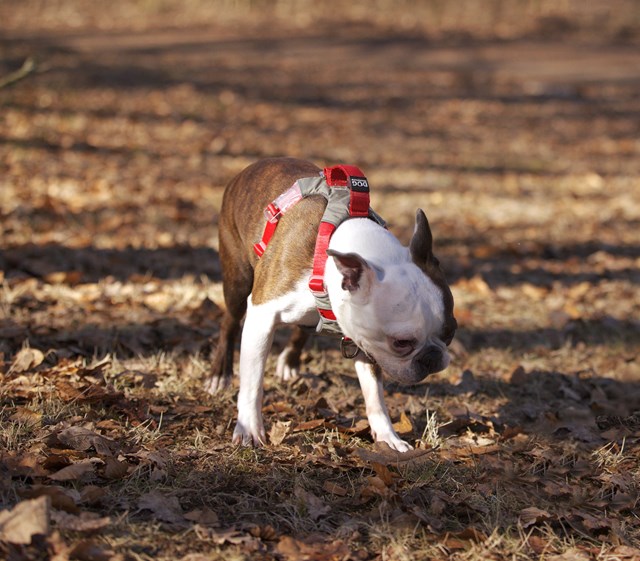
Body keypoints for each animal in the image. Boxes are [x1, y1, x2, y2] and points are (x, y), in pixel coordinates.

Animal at [206, 156, 456, 450]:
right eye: (401, 343)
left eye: (450, 332)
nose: (432, 357)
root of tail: (252, 167)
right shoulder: (261, 316)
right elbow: (253, 381)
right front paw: (248, 427)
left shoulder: (364, 341)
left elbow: (374, 395)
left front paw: (388, 437)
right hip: (237, 279)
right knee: (230, 321)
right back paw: (219, 374)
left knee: (301, 329)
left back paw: (289, 361)